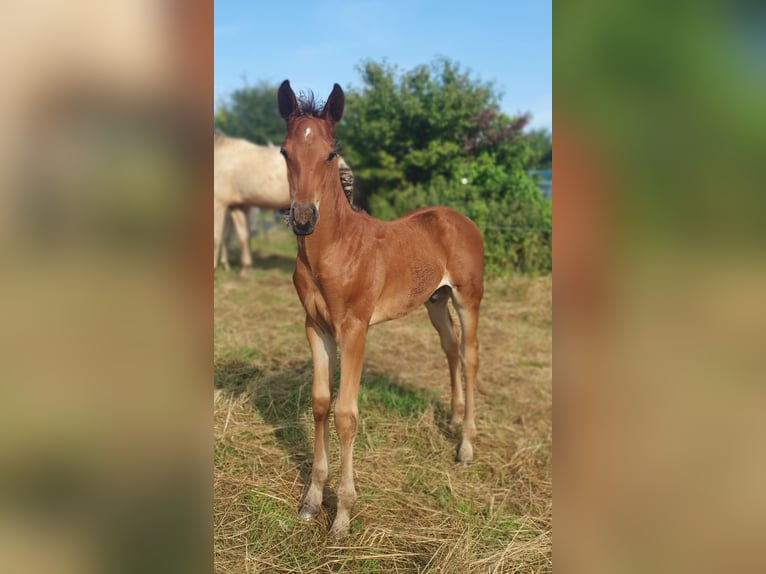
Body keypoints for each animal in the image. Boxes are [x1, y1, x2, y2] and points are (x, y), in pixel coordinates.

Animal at [278, 81, 486, 540]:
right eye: (284, 151)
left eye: (330, 154)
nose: (302, 218)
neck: (335, 249)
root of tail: (459, 218)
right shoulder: (315, 327)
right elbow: (320, 403)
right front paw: (311, 501)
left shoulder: (355, 329)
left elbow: (345, 414)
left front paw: (342, 516)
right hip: (435, 300)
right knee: (449, 348)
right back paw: (453, 418)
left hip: (468, 297)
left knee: (469, 356)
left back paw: (466, 445)